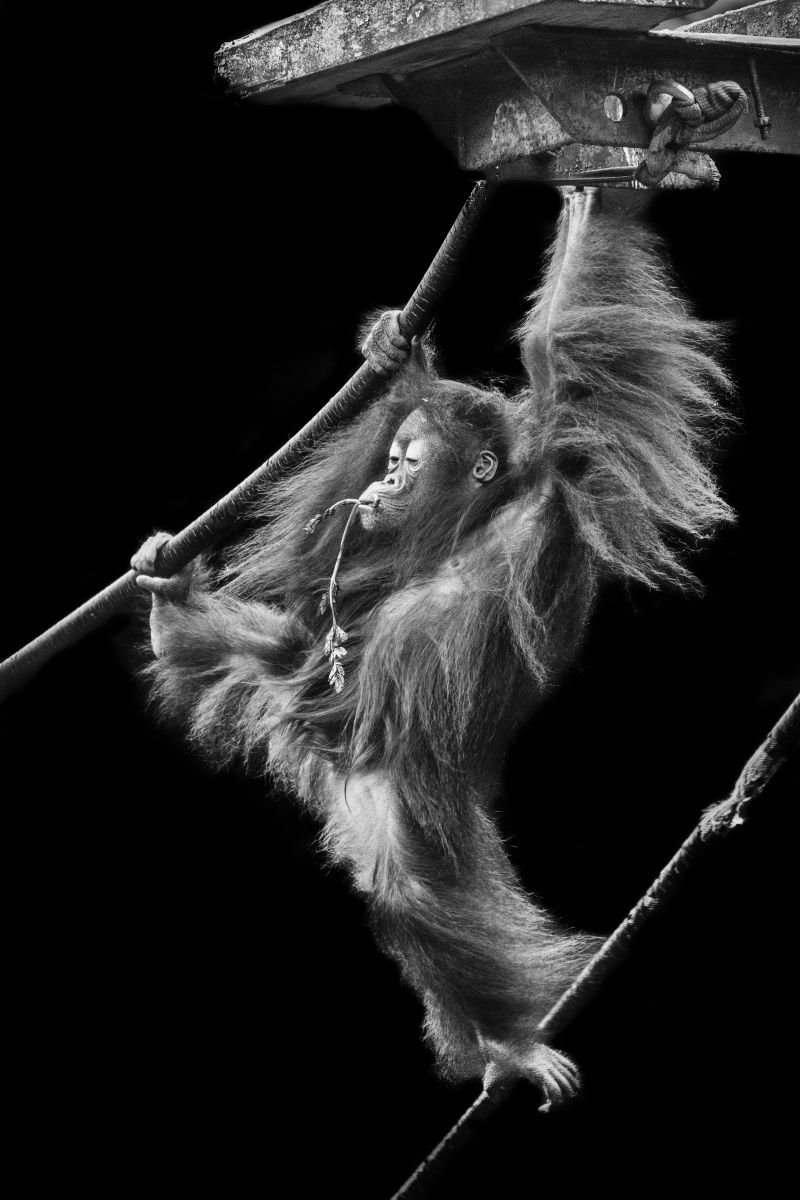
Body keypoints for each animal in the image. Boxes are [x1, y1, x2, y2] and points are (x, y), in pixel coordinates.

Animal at [132, 189, 733, 1110]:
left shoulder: (564, 468)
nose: (381, 482)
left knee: (410, 893)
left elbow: (563, 358)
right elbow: (314, 582)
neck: (466, 527)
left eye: (407, 464)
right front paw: (398, 360)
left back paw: (507, 1043)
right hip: (337, 738)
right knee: (282, 656)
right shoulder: (370, 561)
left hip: (406, 783)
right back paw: (172, 612)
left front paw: (597, 194)